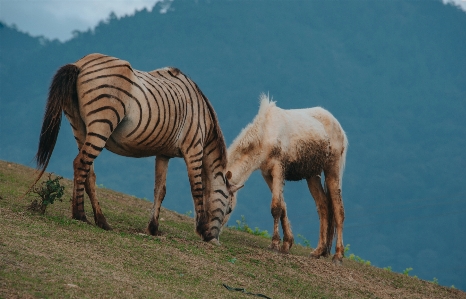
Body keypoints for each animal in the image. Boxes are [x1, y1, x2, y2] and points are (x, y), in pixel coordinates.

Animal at [34, 52, 242, 243]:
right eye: (229, 208)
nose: (213, 240)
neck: (203, 119)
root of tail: (81, 63)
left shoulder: (163, 154)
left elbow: (160, 190)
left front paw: (153, 228)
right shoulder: (194, 149)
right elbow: (197, 189)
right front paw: (200, 229)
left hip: (79, 126)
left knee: (88, 173)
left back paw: (101, 220)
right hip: (102, 123)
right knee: (81, 164)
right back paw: (80, 215)